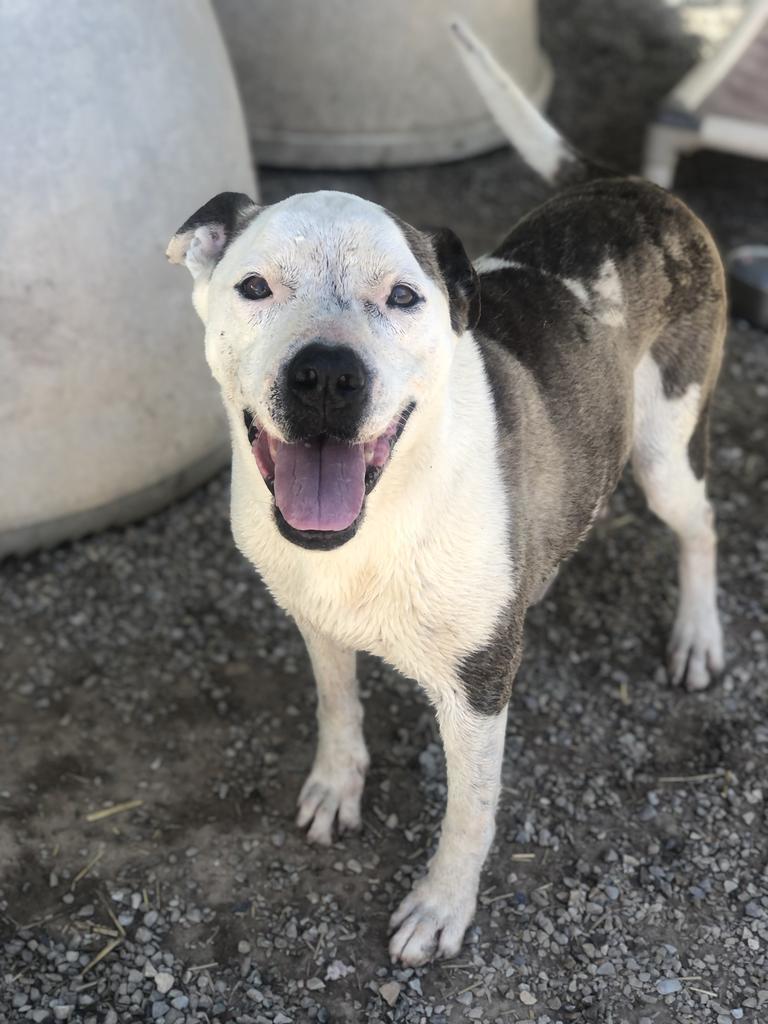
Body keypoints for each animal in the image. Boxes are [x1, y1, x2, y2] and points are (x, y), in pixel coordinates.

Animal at [167, 22, 729, 966]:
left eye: (403, 296)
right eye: (254, 286)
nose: (327, 375)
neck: (379, 520)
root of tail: (632, 183)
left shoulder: (479, 683)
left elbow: (470, 810)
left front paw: (440, 907)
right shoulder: (314, 617)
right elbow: (336, 706)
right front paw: (337, 786)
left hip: (665, 450)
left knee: (701, 526)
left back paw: (698, 635)